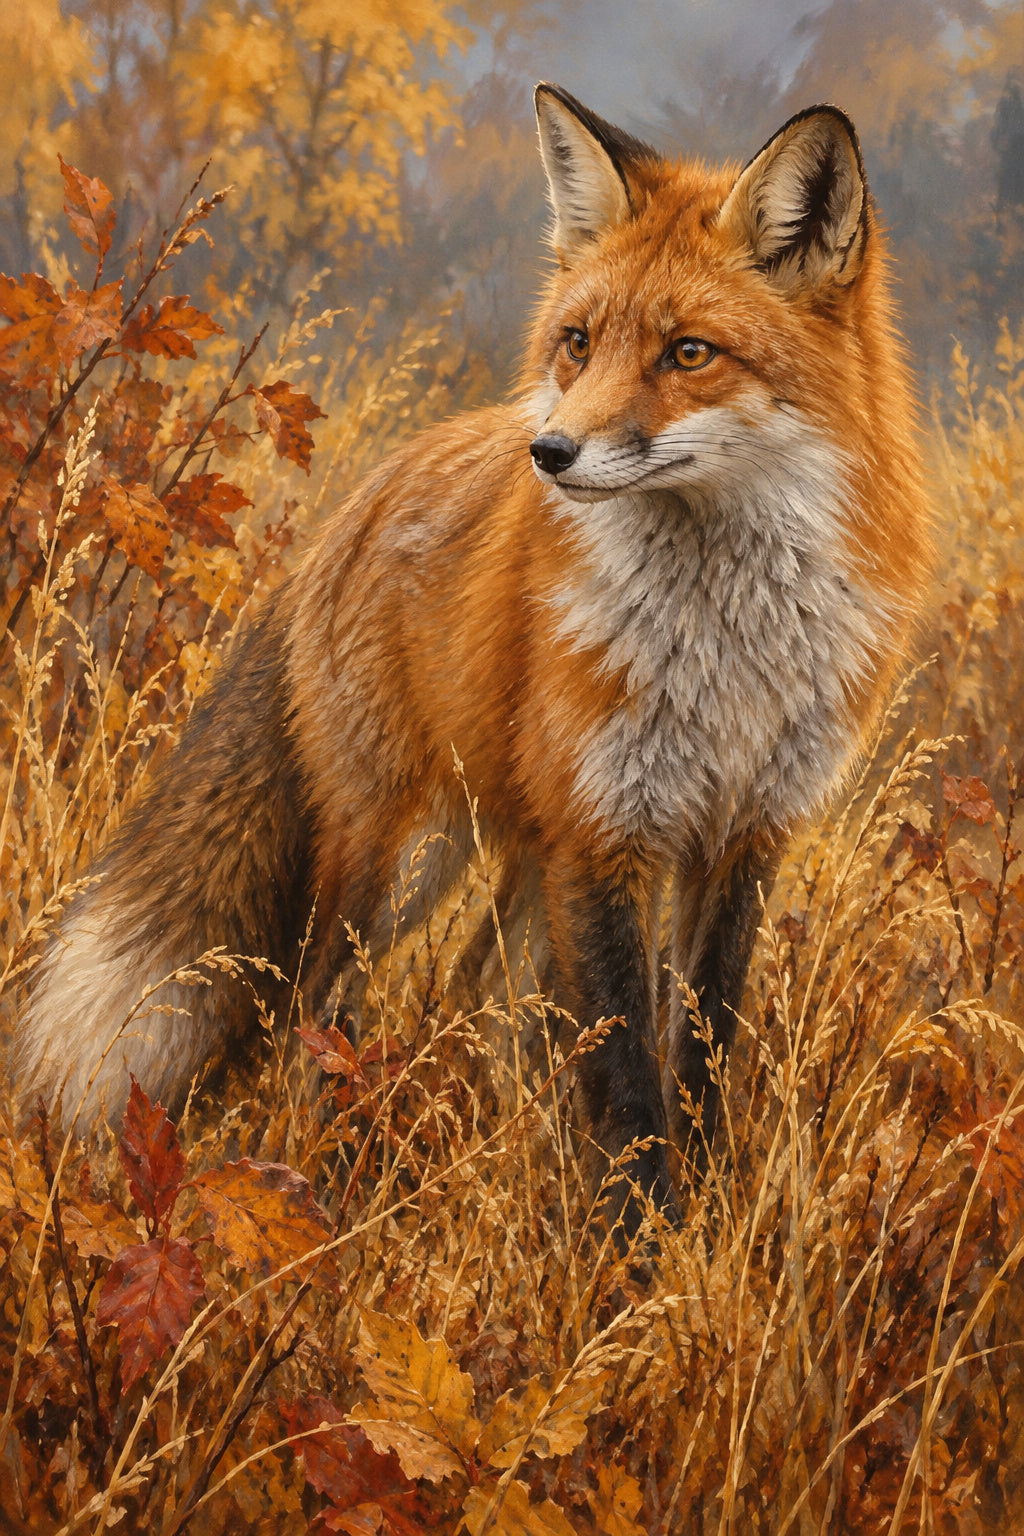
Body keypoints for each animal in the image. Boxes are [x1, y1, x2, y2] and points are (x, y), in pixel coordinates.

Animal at [15, 84, 929, 1234]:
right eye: (577, 341)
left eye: (688, 353)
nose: (550, 453)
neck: (724, 645)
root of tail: (362, 496)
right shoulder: (606, 831)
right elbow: (625, 1077)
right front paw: (641, 1249)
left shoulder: (742, 834)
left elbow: (698, 1055)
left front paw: (706, 1221)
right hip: (403, 854)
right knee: (316, 1010)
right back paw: (308, 1174)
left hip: (525, 859)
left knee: (466, 991)